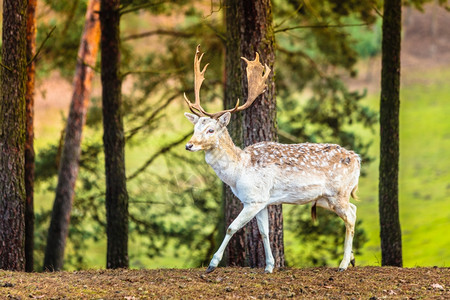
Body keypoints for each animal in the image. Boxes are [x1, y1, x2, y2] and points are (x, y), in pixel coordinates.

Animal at [182, 45, 358, 274]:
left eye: (211, 130)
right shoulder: (262, 201)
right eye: (195, 128)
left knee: (351, 217)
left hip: (339, 192)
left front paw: (212, 264)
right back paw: (351, 258)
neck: (238, 173)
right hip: (326, 197)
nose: (189, 145)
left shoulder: (254, 198)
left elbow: (231, 227)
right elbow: (264, 232)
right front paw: (269, 266)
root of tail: (357, 159)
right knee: (354, 210)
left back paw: (343, 264)